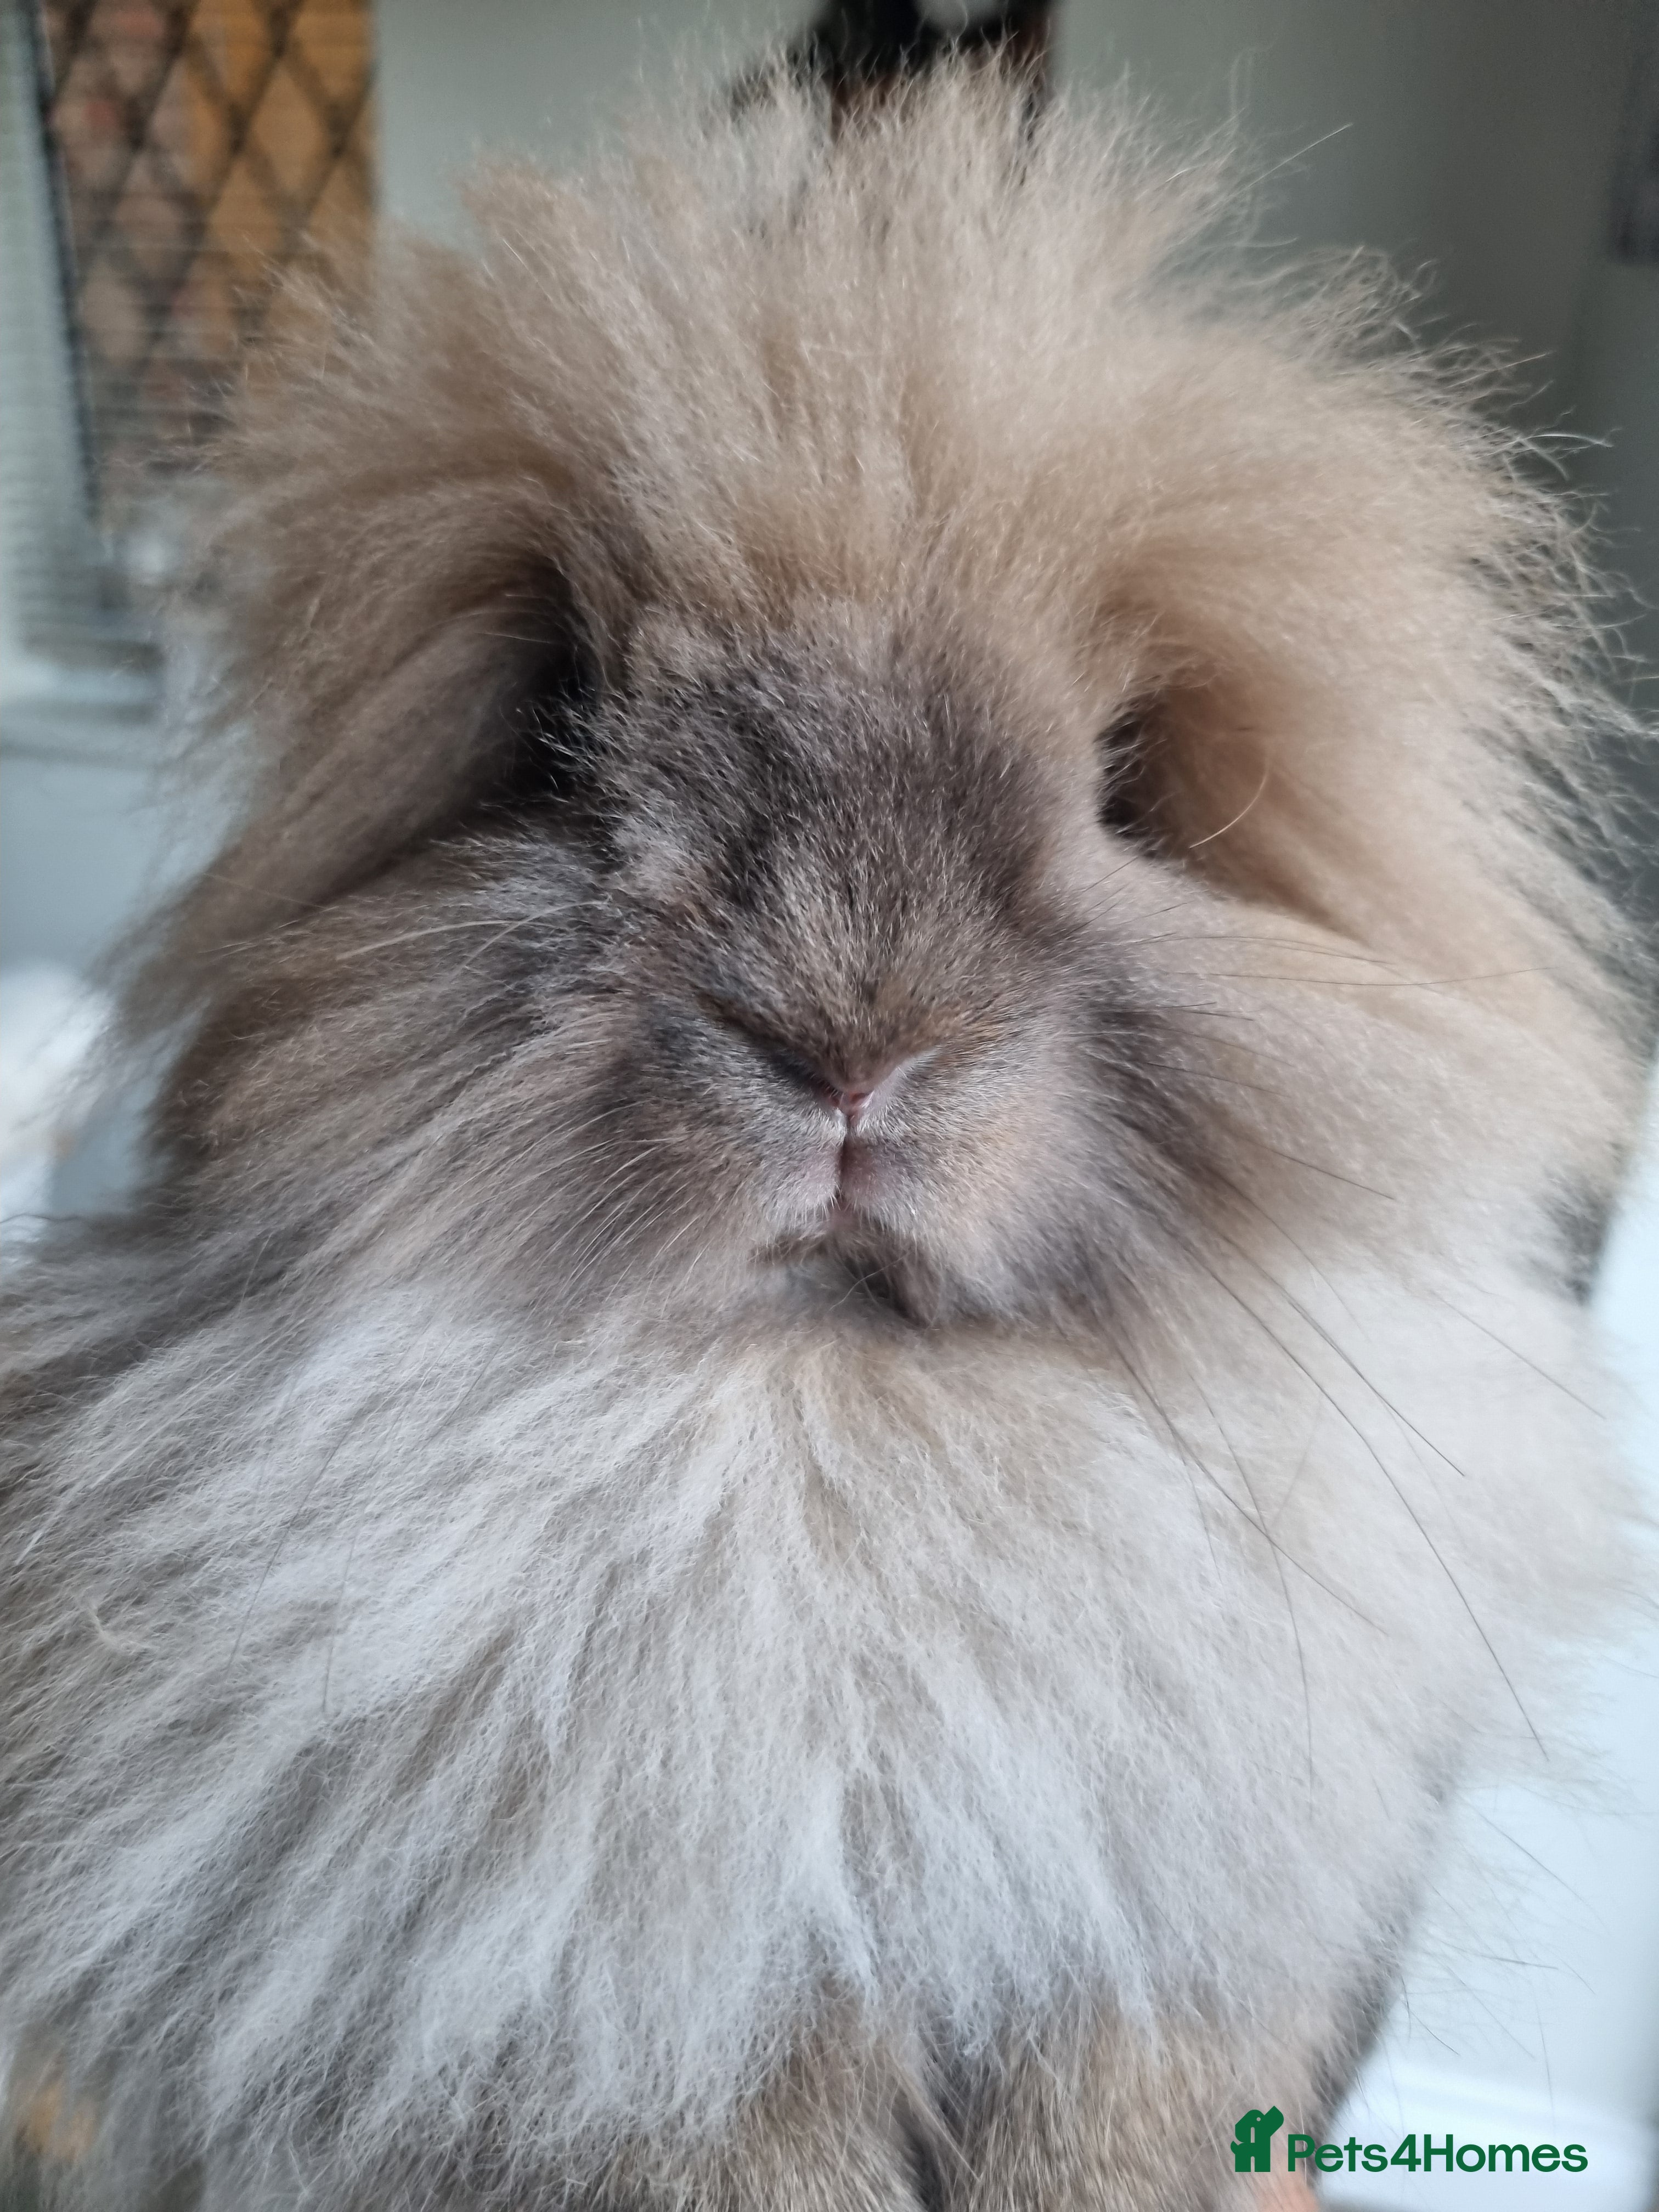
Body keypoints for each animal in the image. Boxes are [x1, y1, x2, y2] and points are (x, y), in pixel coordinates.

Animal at [0, 58, 1646, 2212]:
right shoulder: (613, 1998)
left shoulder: (1157, 1953)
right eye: (555, 730)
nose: (853, 1047)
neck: (835, 1420)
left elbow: (1121, 2115)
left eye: (1130, 780)